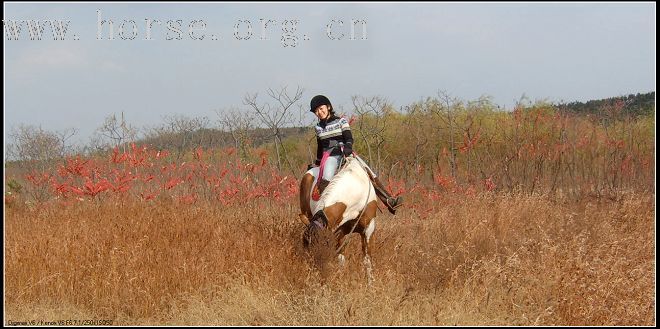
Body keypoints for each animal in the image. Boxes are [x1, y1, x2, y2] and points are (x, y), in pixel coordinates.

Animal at [298, 155, 376, 284]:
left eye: (322, 246)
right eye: (306, 246)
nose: (314, 270)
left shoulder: (368, 230)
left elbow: (367, 260)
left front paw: (370, 284)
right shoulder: (338, 232)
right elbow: (341, 258)